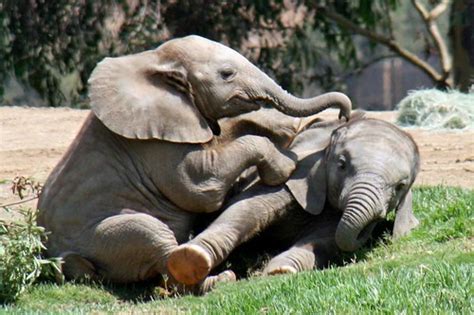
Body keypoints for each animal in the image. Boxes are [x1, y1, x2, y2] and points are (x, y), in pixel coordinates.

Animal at [168, 116, 422, 286]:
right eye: (341, 164)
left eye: (400, 186)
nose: (376, 227)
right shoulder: (296, 170)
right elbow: (247, 210)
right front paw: (190, 258)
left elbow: (323, 241)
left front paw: (279, 271)